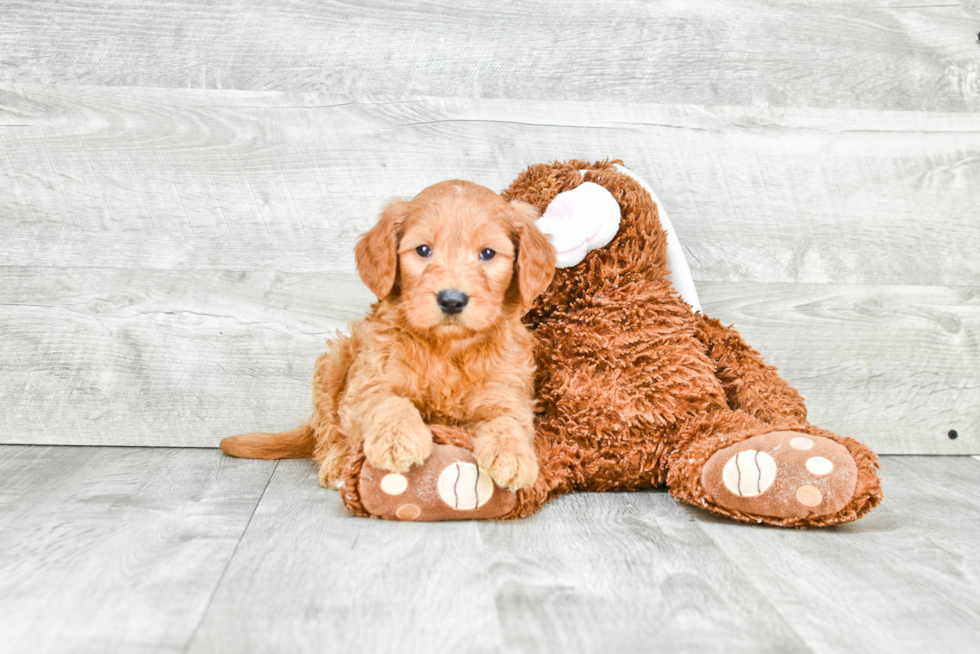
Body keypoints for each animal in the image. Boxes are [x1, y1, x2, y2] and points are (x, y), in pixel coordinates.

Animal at [224, 179, 560, 492]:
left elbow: (508, 420)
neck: (447, 349)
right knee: (328, 433)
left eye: (488, 253)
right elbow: (389, 401)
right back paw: (338, 463)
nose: (452, 300)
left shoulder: (506, 390)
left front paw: (513, 455)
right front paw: (399, 439)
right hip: (335, 361)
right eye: (423, 250)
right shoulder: (369, 381)